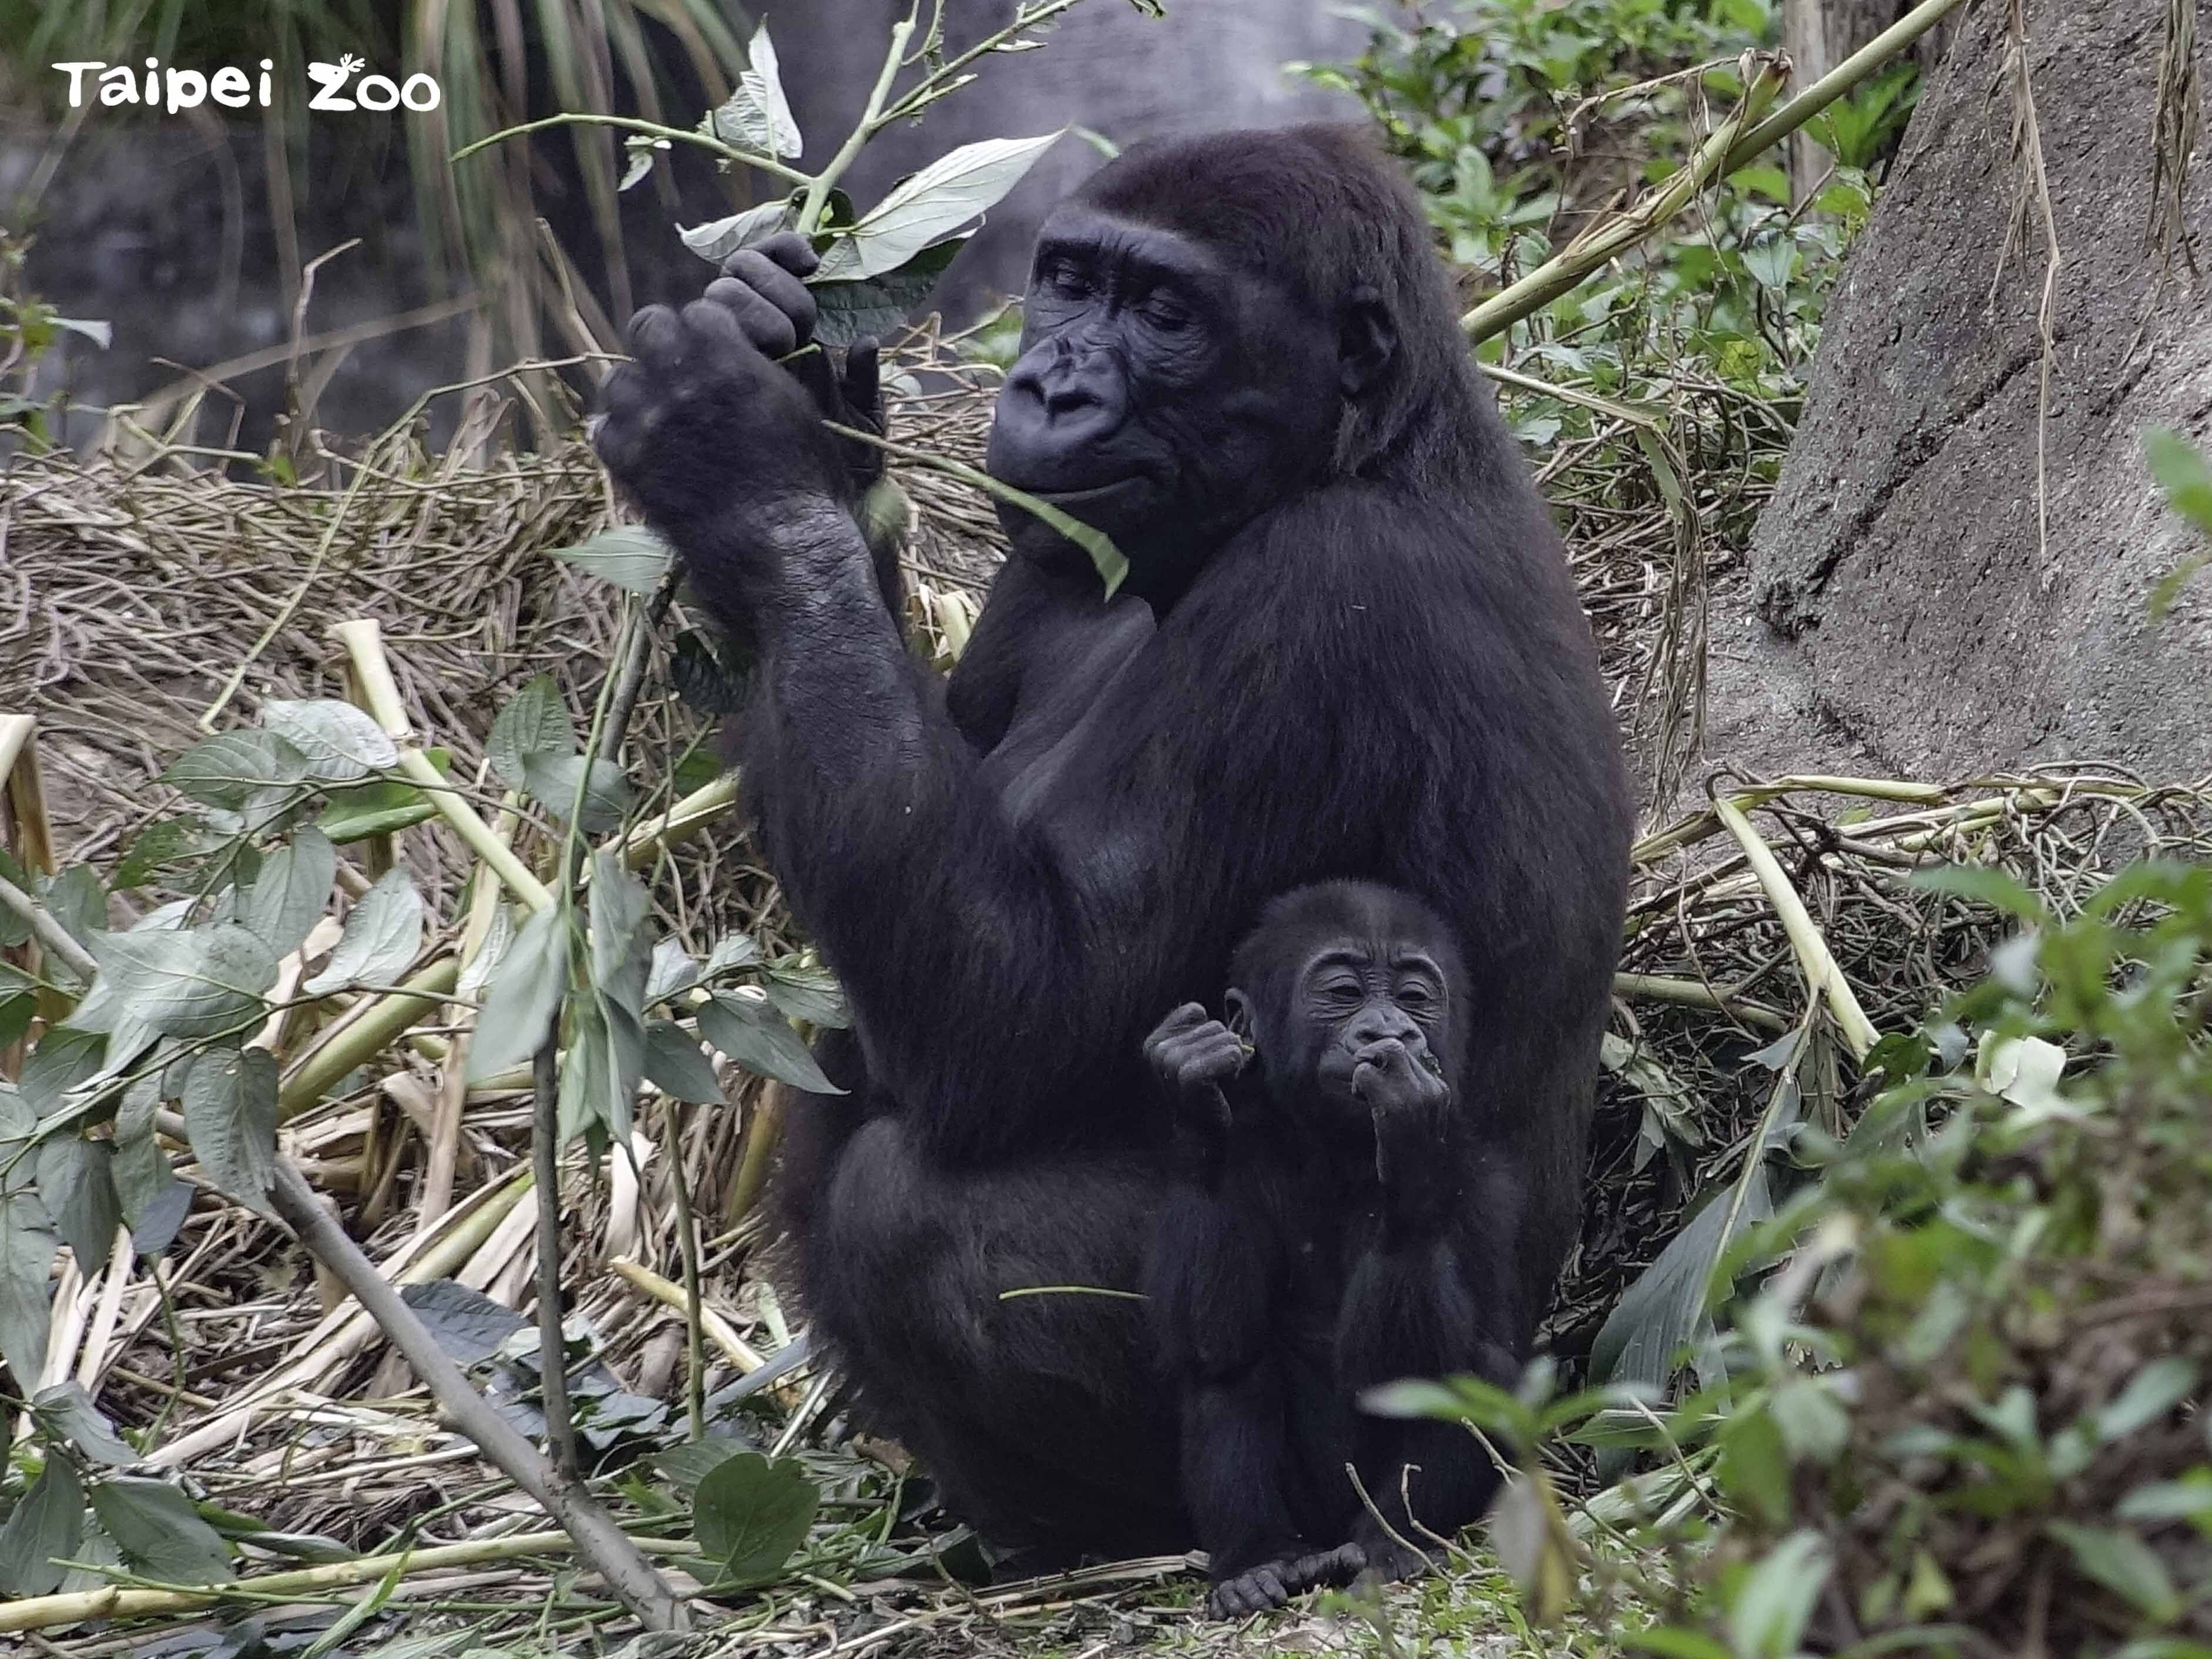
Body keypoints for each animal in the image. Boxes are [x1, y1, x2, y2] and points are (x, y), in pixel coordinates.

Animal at [1141, 885, 1522, 1628]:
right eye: (1344, 992)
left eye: (1414, 997)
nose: (1390, 1031)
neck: (1333, 1147)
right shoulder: (1247, 1156)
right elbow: (1212, 1337)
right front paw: (1192, 1091)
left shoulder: (1484, 1181)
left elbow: (1416, 1367)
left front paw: (1411, 1133)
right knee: (1232, 1367)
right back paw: (1255, 1562)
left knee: (1480, 1367)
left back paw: (1388, 1545)